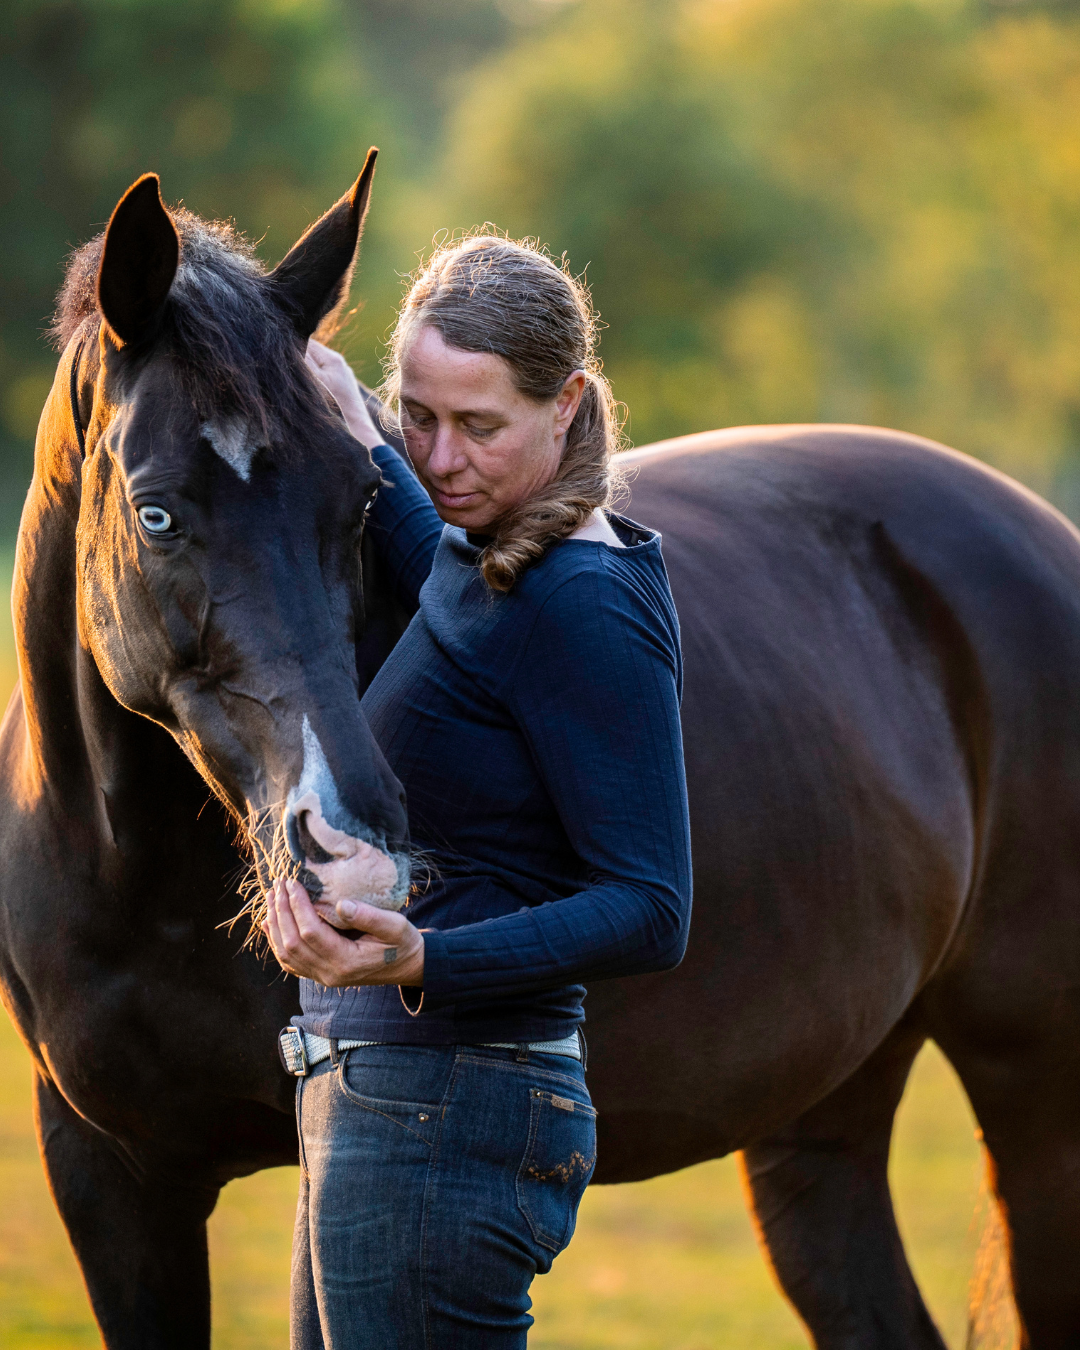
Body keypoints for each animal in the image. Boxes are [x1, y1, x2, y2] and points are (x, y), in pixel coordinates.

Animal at [3, 163, 1079, 1349]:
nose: (354, 847)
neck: (131, 874)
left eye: (360, 496)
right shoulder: (109, 1175)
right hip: (824, 1115)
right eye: (156, 514)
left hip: (1038, 1108)